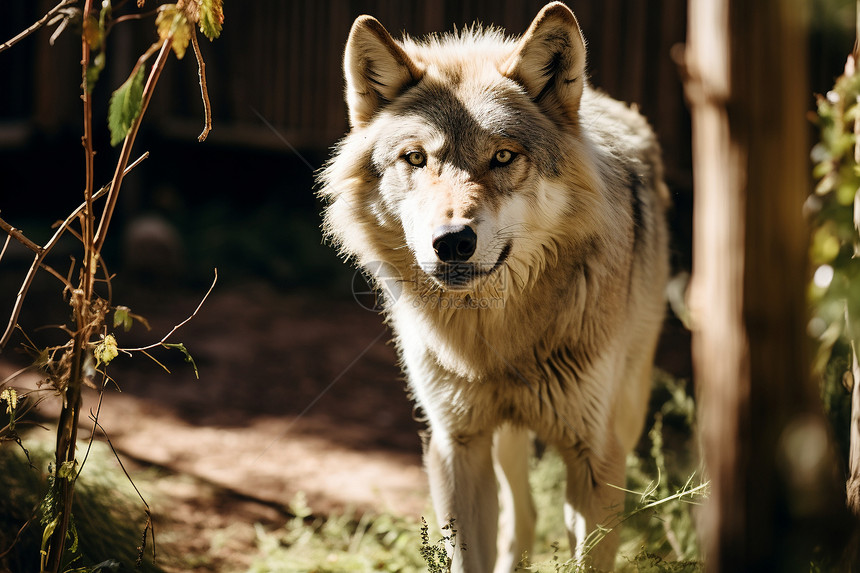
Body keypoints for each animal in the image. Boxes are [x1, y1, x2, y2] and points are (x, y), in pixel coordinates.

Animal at [318, 2, 672, 568]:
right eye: (416, 158)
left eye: (503, 157)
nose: (453, 241)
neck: (495, 336)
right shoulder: (456, 444)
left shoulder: (595, 455)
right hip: (504, 440)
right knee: (521, 515)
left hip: (626, 412)